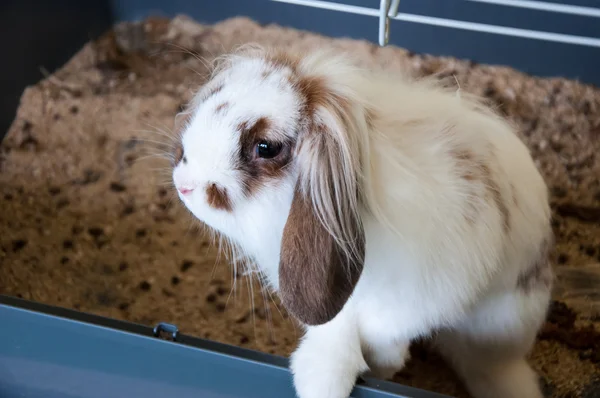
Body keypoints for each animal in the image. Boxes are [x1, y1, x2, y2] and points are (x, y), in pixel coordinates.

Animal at [170, 45, 552, 398]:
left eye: (266, 147)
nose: (184, 185)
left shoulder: (414, 297)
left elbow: (382, 336)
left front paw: (373, 370)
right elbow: (334, 333)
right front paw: (320, 378)